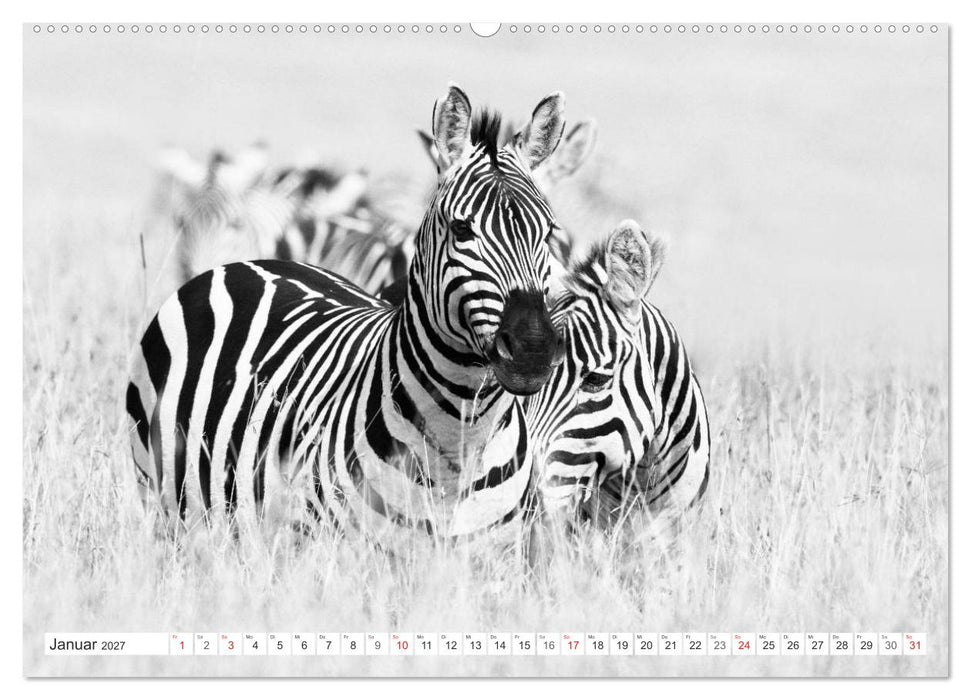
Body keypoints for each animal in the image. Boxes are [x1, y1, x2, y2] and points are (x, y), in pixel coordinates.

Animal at [126, 84, 570, 546]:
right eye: (462, 229)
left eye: (549, 233)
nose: (532, 351)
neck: (461, 438)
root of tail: (248, 263)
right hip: (167, 502)